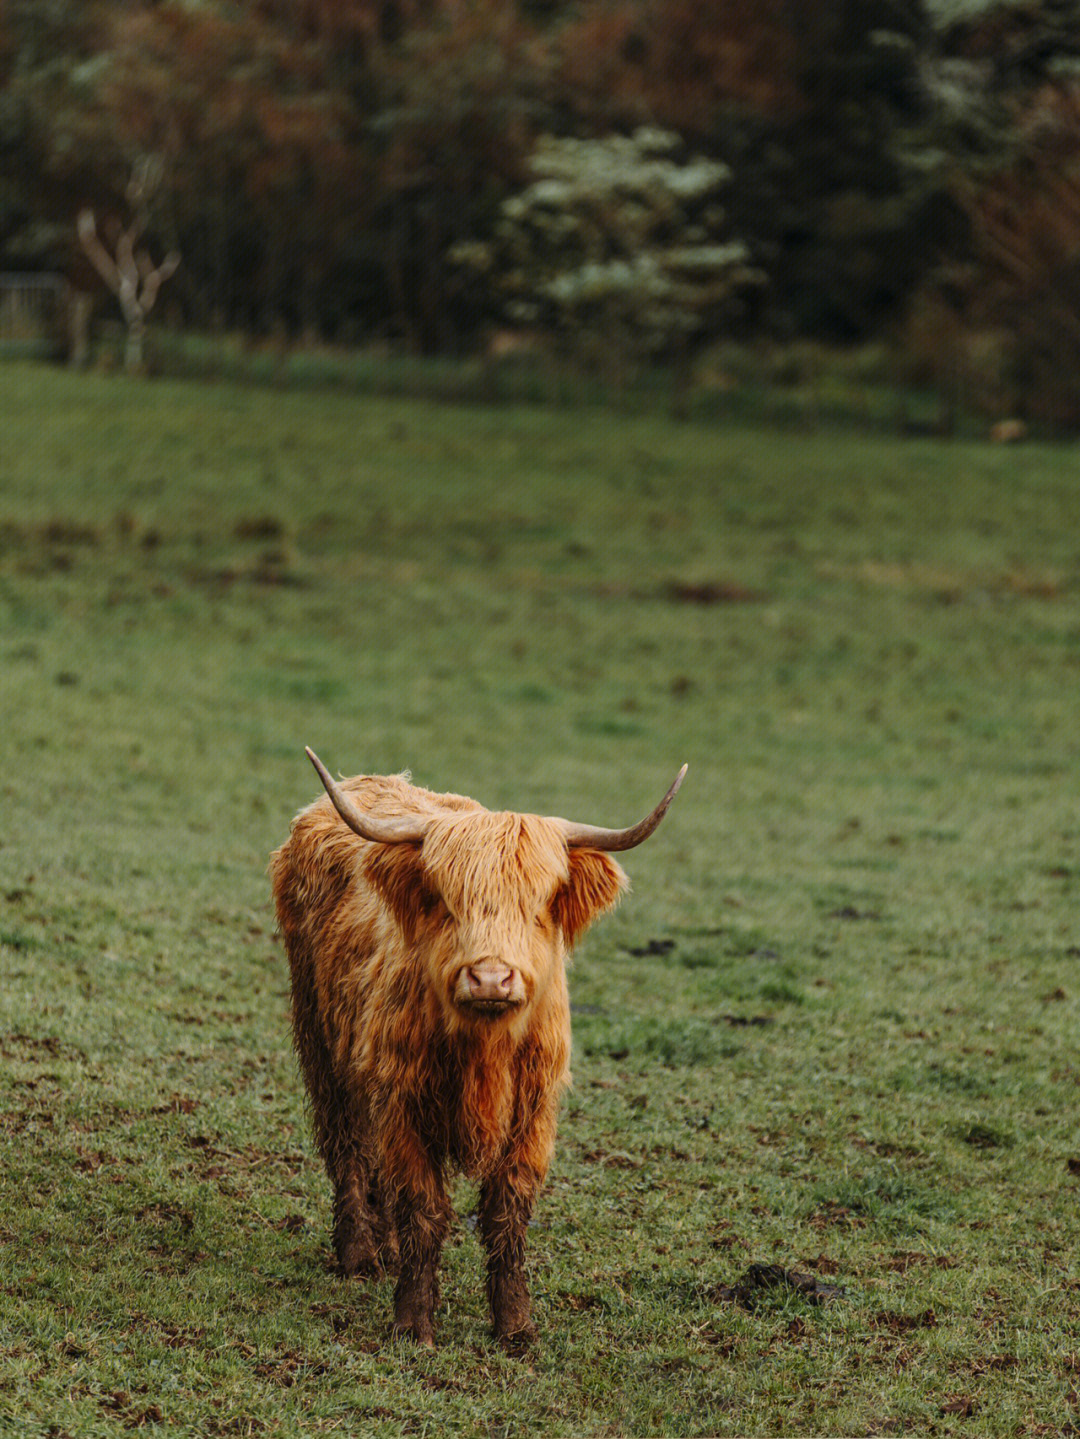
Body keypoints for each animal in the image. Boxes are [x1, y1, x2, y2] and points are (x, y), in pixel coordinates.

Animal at [274, 754, 687, 1346]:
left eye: (538, 907)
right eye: (448, 904)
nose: (491, 978)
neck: (483, 1052)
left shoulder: (532, 1112)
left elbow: (506, 1211)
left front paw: (515, 1326)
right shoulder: (404, 1101)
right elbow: (423, 1206)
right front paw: (414, 1323)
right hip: (320, 1042)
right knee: (346, 1145)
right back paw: (359, 1256)